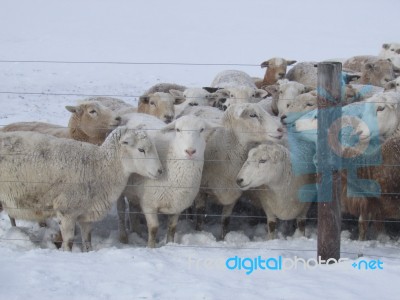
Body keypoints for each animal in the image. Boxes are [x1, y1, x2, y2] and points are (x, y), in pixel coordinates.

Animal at [0, 126, 162, 251]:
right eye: (141, 150)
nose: (160, 171)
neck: (100, 166)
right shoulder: (66, 211)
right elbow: (69, 242)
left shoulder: (87, 213)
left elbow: (87, 239)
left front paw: (88, 252)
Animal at [120, 115, 220, 246]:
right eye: (178, 129)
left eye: (201, 129)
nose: (190, 151)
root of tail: (134, 114)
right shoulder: (149, 204)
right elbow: (153, 228)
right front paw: (151, 247)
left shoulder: (177, 205)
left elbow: (172, 228)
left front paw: (170, 244)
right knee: (121, 213)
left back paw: (137, 233)